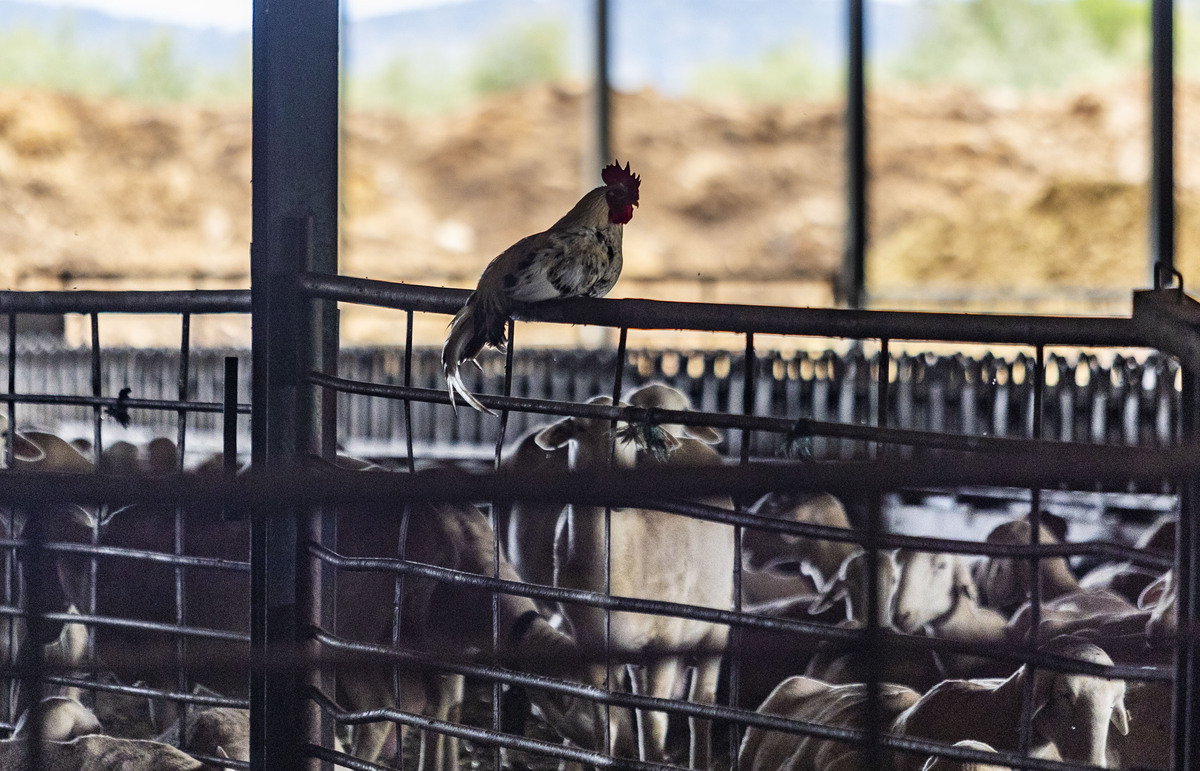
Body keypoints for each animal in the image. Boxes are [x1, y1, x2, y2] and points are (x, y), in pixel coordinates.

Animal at [537, 393, 739, 763]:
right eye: (579, 428)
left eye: (631, 436)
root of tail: (690, 444)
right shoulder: (592, 647)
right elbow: (609, 730)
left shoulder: (665, 642)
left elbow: (652, 728)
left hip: (716, 626)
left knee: (699, 708)